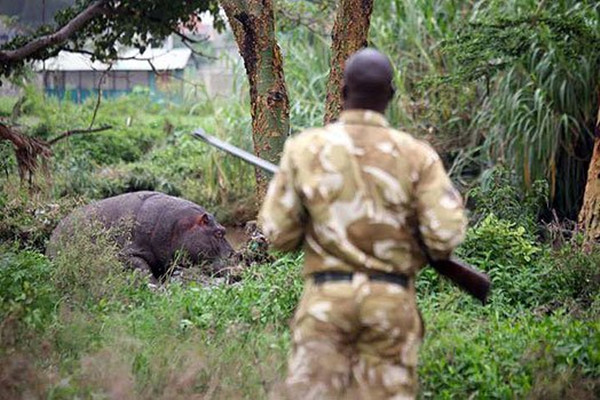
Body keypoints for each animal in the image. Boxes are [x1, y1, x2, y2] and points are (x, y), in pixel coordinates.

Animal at [47, 191, 234, 280]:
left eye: (224, 229)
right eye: (219, 232)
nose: (236, 255)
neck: (180, 225)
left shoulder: (163, 260)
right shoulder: (128, 252)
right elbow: (142, 267)